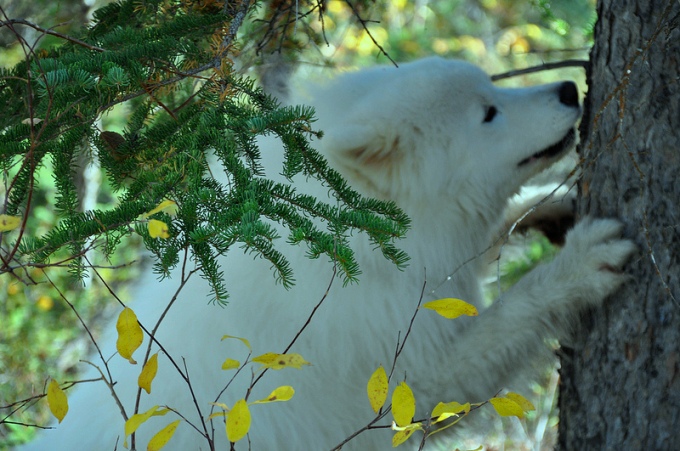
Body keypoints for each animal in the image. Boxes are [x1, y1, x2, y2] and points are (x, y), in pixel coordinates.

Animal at [23, 58, 636, 450]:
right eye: (488, 112)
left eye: (494, 87)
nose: (569, 89)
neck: (348, 247)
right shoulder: (407, 380)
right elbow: (511, 315)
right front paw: (581, 265)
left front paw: (552, 208)